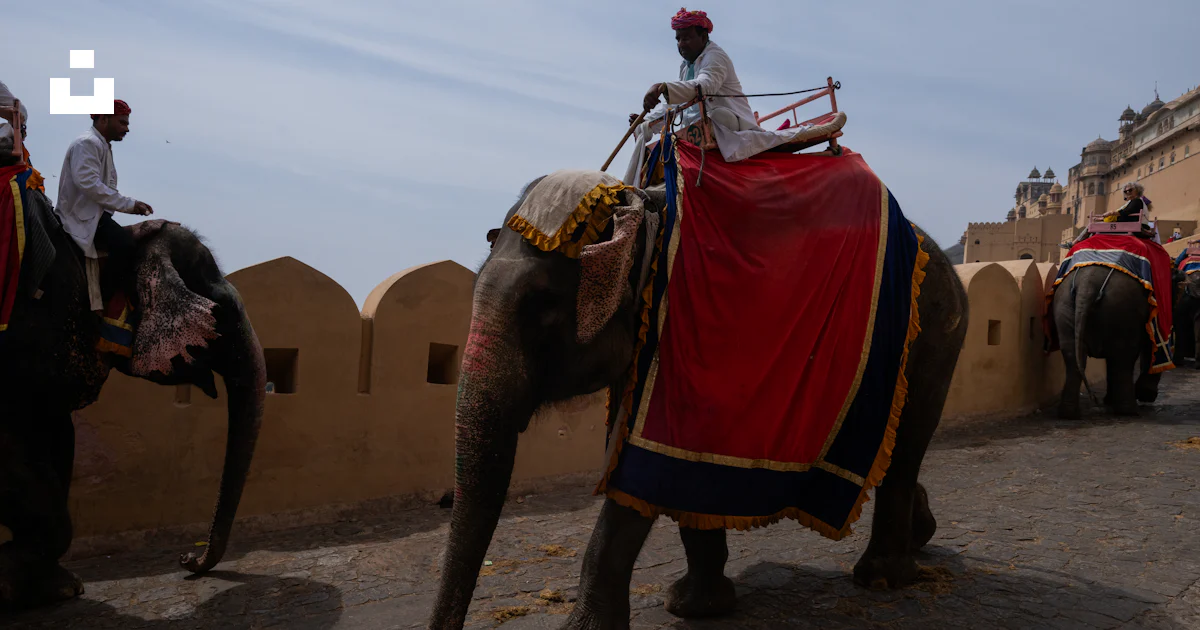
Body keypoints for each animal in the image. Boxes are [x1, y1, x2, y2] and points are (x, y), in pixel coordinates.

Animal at [428, 177, 969, 629]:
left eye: (543, 306)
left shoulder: (687, 333)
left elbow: (637, 473)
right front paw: (695, 607)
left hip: (935, 337)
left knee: (906, 446)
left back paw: (882, 577)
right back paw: (922, 532)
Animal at [1052, 265, 1163, 418]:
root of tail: (1087, 284)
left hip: (1064, 306)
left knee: (1072, 356)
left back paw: (1068, 413)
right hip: (1122, 310)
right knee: (1123, 359)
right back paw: (1128, 411)